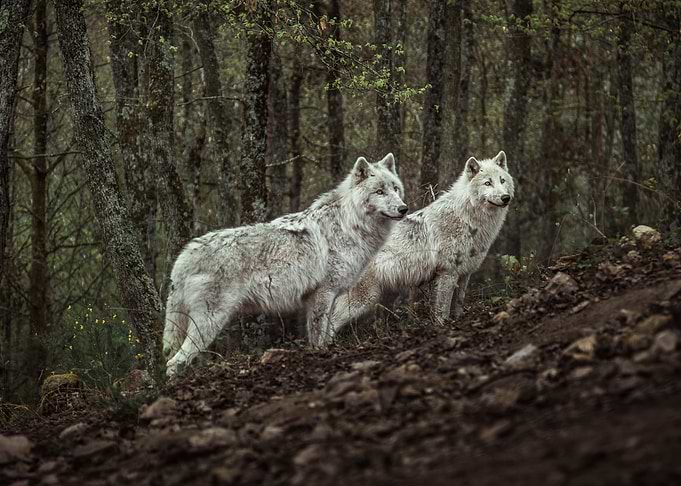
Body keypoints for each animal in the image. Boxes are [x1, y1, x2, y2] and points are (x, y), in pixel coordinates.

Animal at [163, 153, 407, 376]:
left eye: (395, 188)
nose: (403, 208)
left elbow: (327, 333)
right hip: (210, 321)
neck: (349, 224)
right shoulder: (322, 294)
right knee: (174, 362)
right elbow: (318, 336)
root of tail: (183, 257)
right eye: (379, 191)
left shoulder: (330, 296)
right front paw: (320, 355)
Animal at [328, 151, 514, 339]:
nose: (506, 197)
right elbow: (442, 311)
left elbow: (459, 305)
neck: (468, 219)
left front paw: (458, 321)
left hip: (387, 294)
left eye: (502, 180)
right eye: (488, 183)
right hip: (363, 300)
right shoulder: (447, 273)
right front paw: (442, 327)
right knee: (332, 323)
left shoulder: (465, 274)